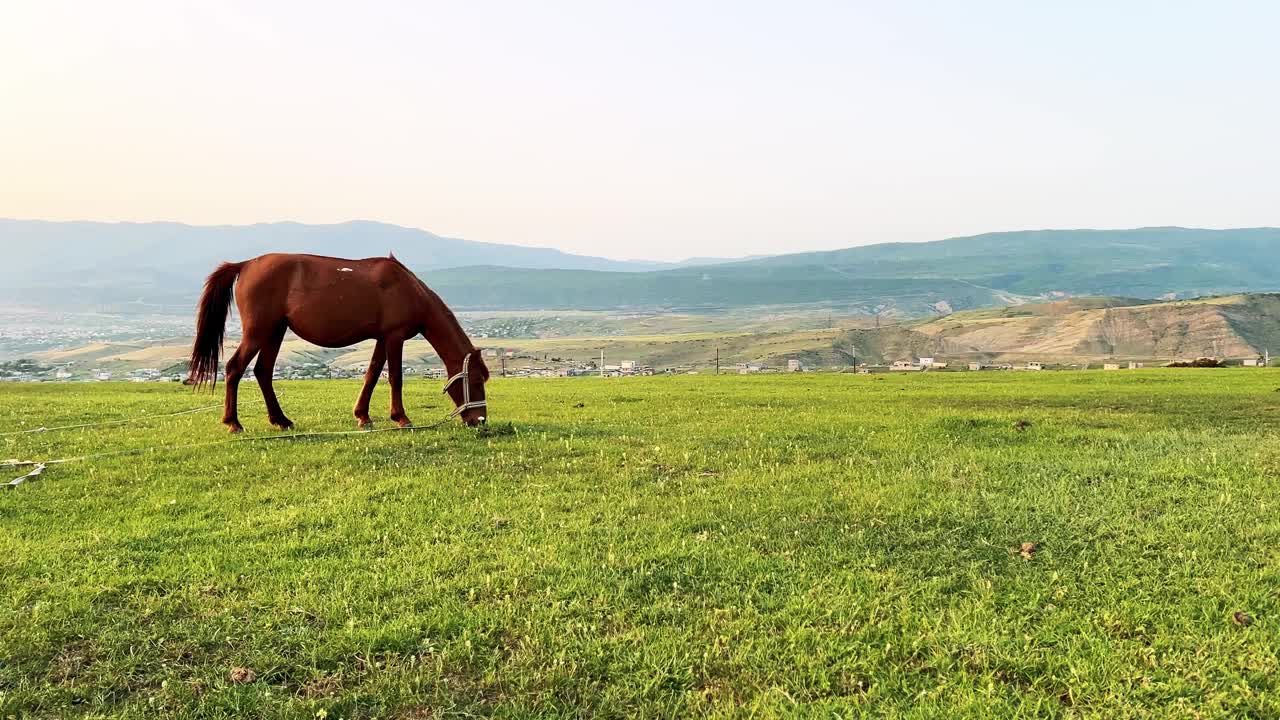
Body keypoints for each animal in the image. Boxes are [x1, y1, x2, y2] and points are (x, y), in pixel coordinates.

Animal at [186, 253, 486, 430]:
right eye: (475, 380)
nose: (480, 420)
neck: (408, 288)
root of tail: (246, 265)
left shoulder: (381, 338)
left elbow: (372, 374)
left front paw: (363, 416)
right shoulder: (394, 336)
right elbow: (395, 378)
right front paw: (401, 417)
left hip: (275, 331)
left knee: (262, 372)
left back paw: (280, 420)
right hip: (259, 331)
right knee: (235, 369)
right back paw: (233, 422)